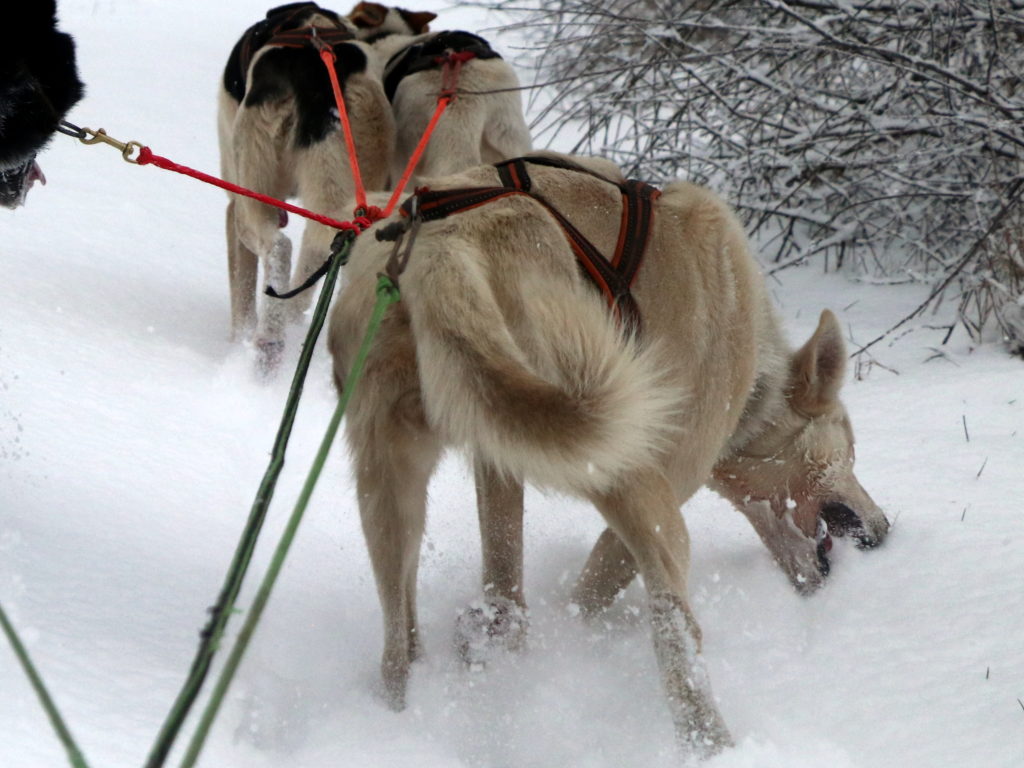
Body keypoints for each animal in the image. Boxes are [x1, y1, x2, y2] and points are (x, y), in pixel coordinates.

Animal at [216, 0, 391, 372]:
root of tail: (315, 77)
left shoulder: (233, 204)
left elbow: (242, 295)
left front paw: (237, 340)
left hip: (251, 195)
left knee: (279, 248)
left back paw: (266, 343)